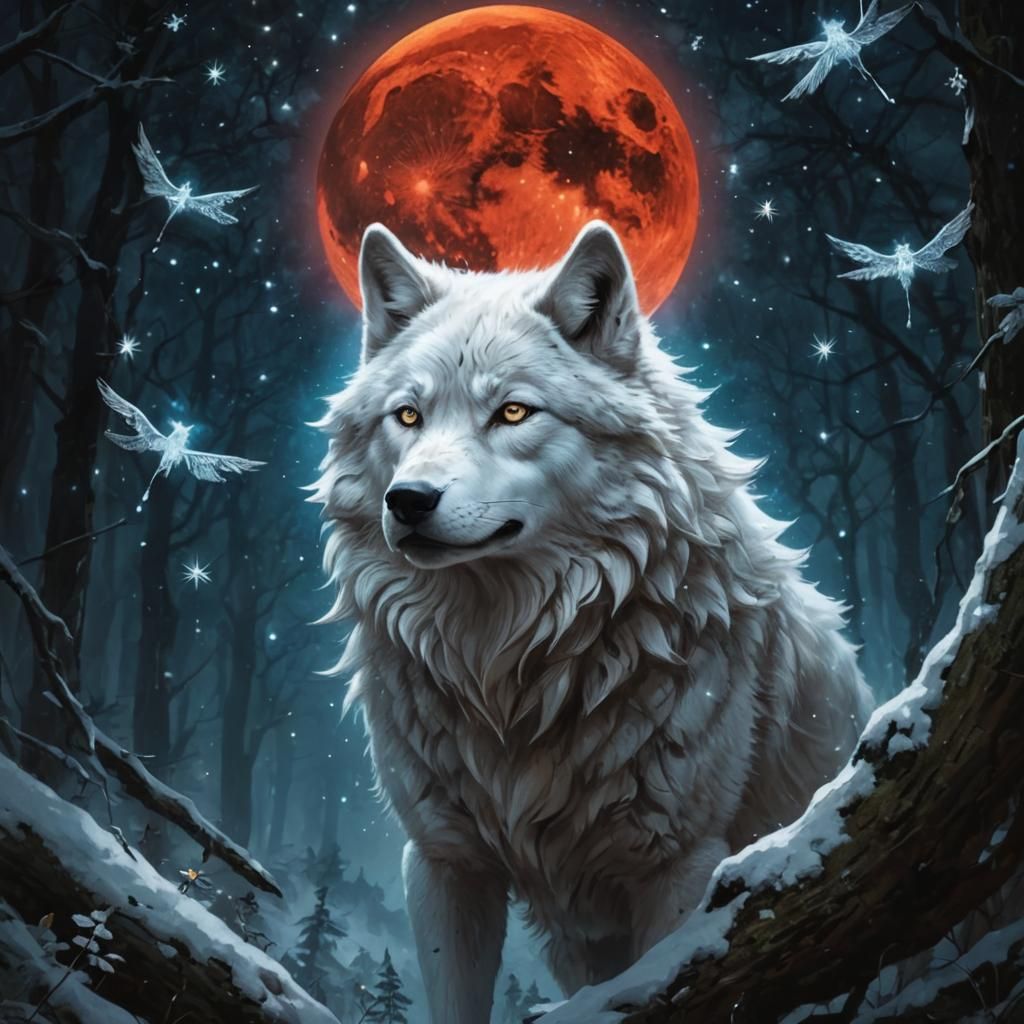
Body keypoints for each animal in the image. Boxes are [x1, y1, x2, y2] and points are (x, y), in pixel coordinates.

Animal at [313, 220, 873, 1023]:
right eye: (408, 415)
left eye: (513, 412)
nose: (408, 500)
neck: (510, 670)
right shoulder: (444, 863)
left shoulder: (682, 865)